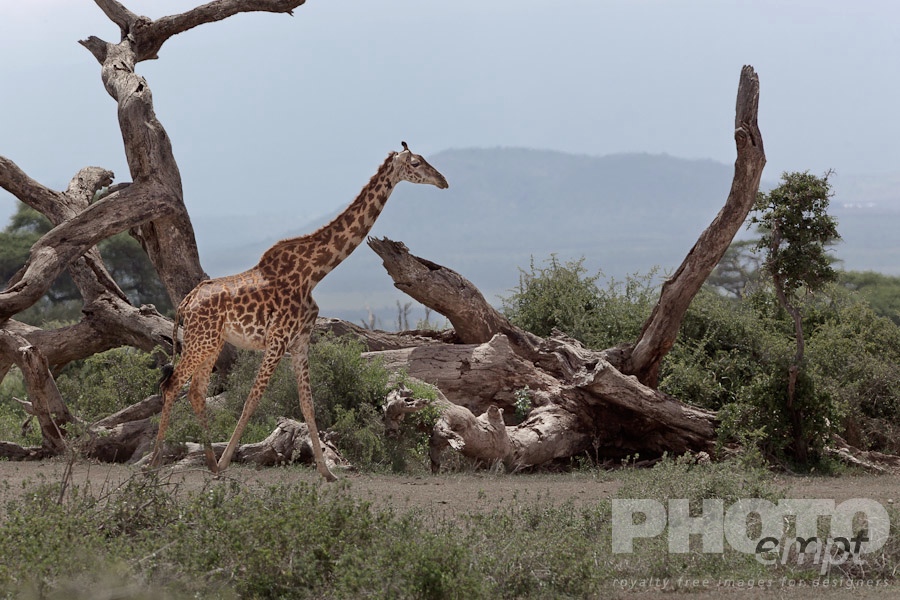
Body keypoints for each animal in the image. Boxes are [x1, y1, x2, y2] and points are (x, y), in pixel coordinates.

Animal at [148, 142, 449, 480]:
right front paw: (228, 460)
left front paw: (327, 472)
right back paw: (156, 462)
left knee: (196, 392)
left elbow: (308, 404)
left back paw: (210, 464)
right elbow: (253, 399)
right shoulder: (277, 339)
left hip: (211, 342)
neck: (314, 272)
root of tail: (185, 303)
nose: (443, 181)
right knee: (172, 384)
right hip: (201, 341)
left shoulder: (300, 341)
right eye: (416, 163)